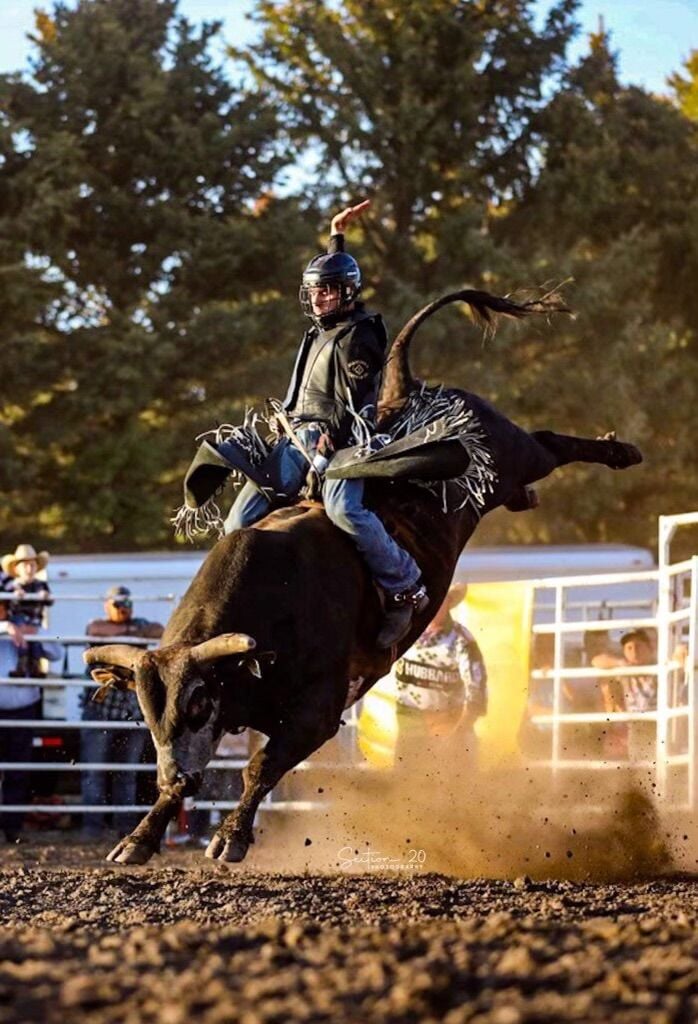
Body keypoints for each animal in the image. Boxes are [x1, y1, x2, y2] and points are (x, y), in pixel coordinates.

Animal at [84, 290, 638, 864]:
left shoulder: (319, 711)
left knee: (546, 443)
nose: (177, 774)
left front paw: (231, 837)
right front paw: (139, 838)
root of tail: (409, 389)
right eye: (147, 710)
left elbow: (260, 767)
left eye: (198, 702)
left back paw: (621, 451)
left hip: (507, 450)